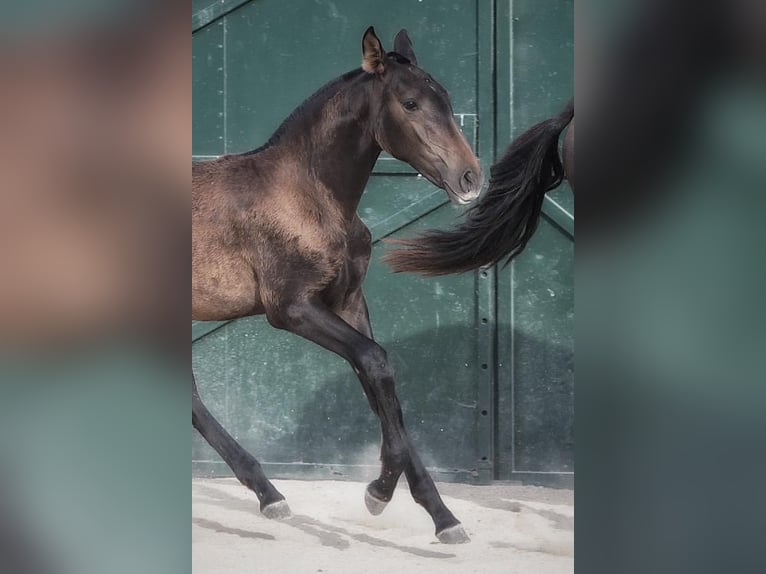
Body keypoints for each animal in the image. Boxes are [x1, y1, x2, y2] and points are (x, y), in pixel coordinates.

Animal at [191, 27, 484, 548]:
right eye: (410, 102)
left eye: (448, 100)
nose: (470, 178)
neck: (308, 195)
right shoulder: (292, 308)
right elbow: (376, 361)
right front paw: (379, 492)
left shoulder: (348, 303)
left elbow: (380, 387)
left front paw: (443, 516)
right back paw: (271, 494)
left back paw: (269, 493)